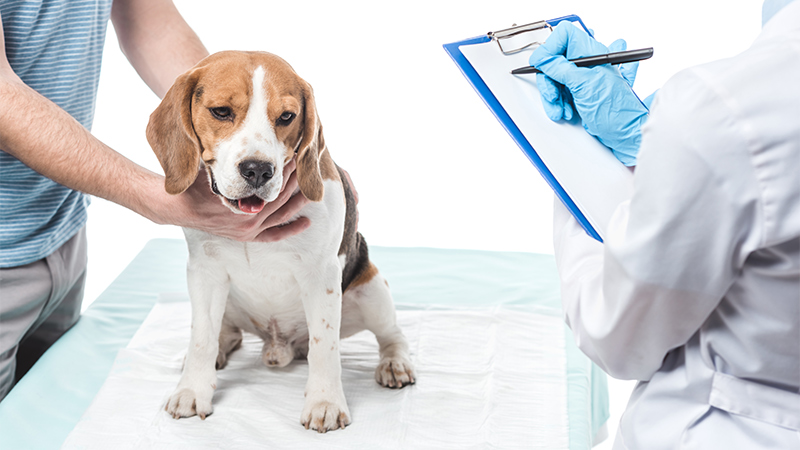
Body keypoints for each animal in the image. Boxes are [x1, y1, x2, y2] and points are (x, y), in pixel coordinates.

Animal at [146, 51, 416, 432]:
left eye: (286, 117)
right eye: (221, 112)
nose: (258, 170)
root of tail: (280, 347)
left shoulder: (321, 277)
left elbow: (324, 345)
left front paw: (325, 402)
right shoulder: (204, 271)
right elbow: (202, 339)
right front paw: (192, 390)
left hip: (371, 288)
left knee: (392, 334)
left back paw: (394, 363)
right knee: (226, 333)